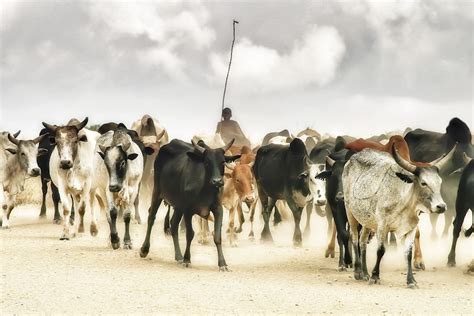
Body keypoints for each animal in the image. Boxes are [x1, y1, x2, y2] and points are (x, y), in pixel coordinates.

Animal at [342, 144, 454, 288]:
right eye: (423, 183)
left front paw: (411, 280)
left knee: (362, 241)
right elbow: (381, 250)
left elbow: (408, 253)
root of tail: (351, 159)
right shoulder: (382, 226)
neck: (404, 202)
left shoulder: (411, 228)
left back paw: (365, 272)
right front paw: (375, 276)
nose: (441, 206)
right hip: (350, 212)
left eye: (439, 182)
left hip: (367, 220)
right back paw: (358, 271)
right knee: (354, 238)